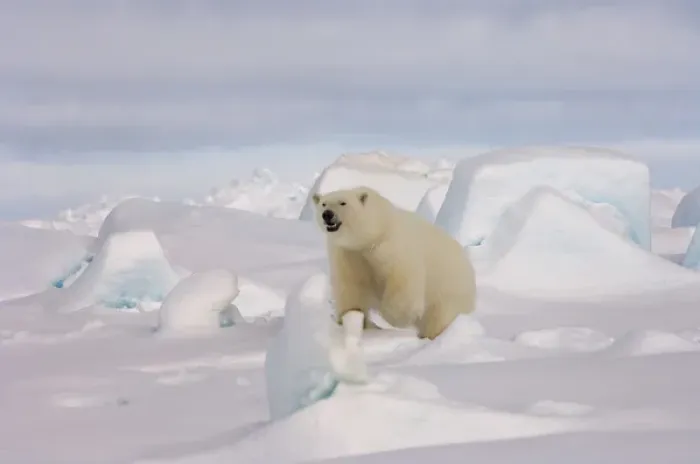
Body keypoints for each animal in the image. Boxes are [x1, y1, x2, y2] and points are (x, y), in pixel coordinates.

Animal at [312, 186, 476, 340]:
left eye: (343, 202)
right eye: (323, 203)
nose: (327, 214)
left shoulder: (391, 246)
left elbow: (402, 282)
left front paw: (398, 318)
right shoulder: (348, 254)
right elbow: (351, 287)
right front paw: (352, 319)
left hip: (449, 292)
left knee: (439, 317)